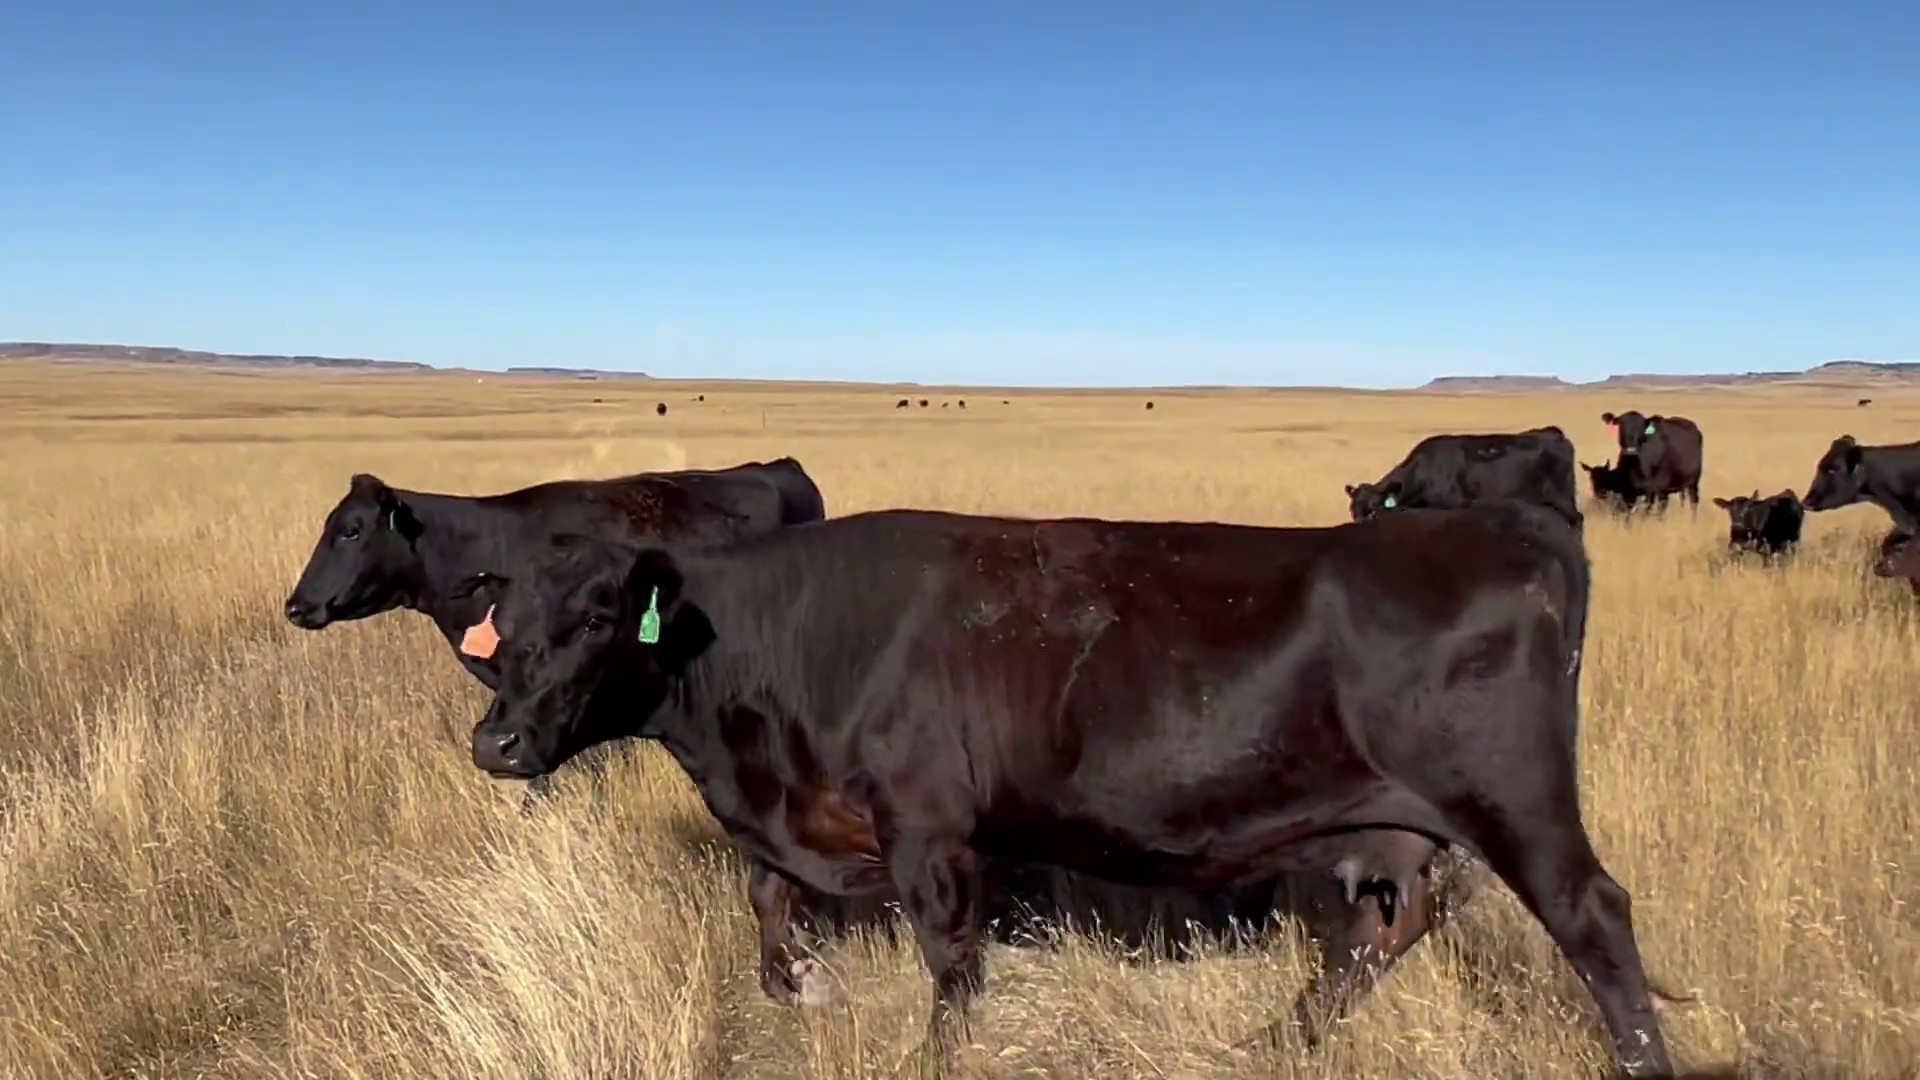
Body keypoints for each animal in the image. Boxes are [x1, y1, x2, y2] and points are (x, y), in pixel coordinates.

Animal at [469, 504, 1677, 1077]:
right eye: (501, 623)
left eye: (596, 618)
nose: (497, 739)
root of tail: (1511, 533)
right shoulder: (802, 822)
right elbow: (767, 905)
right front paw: (804, 987)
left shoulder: (930, 831)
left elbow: (951, 964)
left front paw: (933, 1056)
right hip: (1400, 826)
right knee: (1389, 925)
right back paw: (1278, 1040)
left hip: (1516, 805)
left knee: (1596, 921)